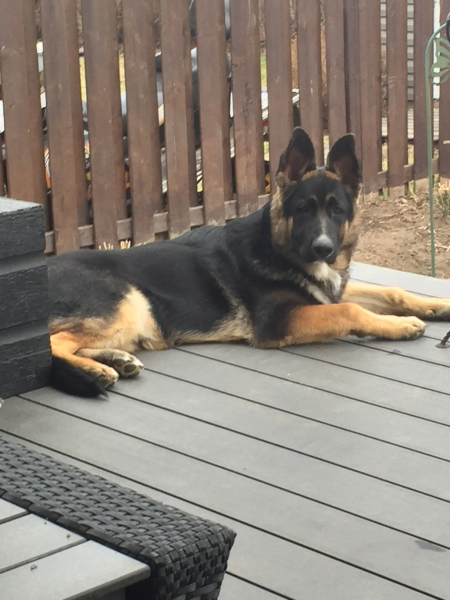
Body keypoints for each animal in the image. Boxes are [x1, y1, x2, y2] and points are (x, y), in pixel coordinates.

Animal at [48, 127, 450, 397]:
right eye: (303, 210)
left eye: (337, 211)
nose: (323, 249)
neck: (277, 248)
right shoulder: (279, 321)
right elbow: (350, 312)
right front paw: (401, 325)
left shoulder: (330, 292)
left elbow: (391, 291)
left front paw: (436, 305)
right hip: (126, 302)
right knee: (53, 343)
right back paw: (95, 371)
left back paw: (115, 360)